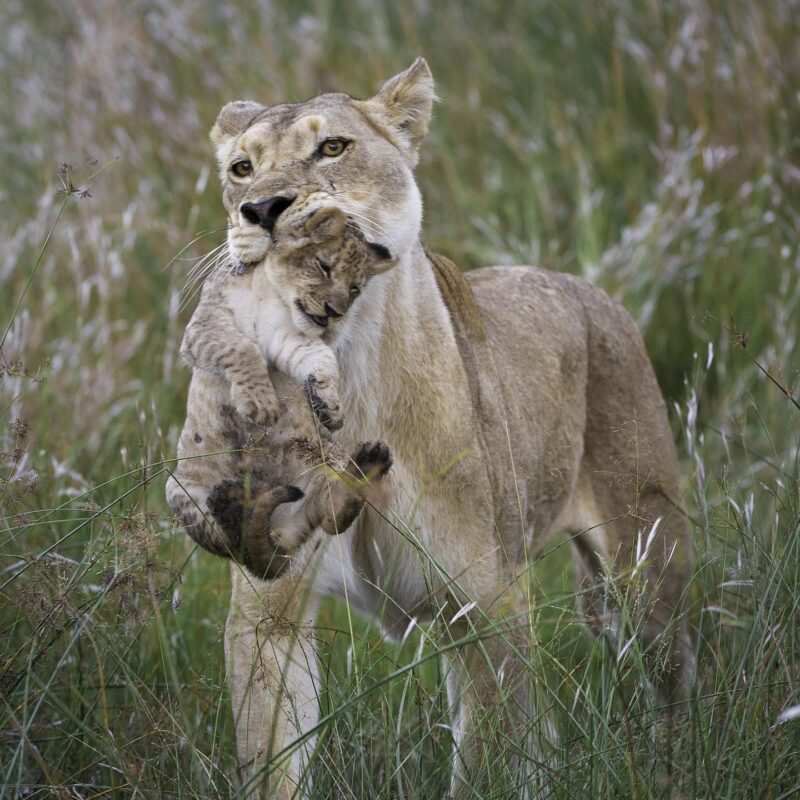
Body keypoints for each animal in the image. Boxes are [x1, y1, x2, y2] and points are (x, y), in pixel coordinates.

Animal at [200, 58, 694, 798]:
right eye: (241, 167)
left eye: (332, 148)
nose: (261, 210)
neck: (350, 375)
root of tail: (588, 289)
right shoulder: (267, 619)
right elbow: (272, 765)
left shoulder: (484, 607)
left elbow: (487, 762)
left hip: (644, 563)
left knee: (674, 681)